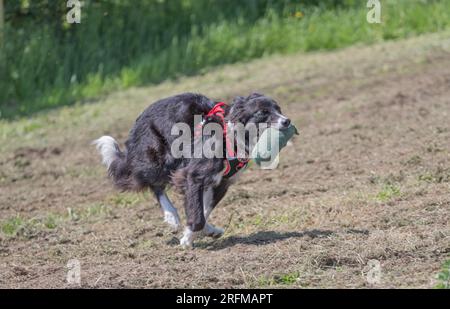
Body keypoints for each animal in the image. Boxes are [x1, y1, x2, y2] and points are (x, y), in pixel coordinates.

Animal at [94, 92, 292, 248]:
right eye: (262, 112)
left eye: (279, 108)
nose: (287, 121)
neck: (231, 135)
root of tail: (141, 116)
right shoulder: (193, 175)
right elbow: (197, 214)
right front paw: (187, 240)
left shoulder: (222, 183)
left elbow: (203, 209)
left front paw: (203, 231)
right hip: (156, 160)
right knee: (154, 184)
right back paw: (171, 215)